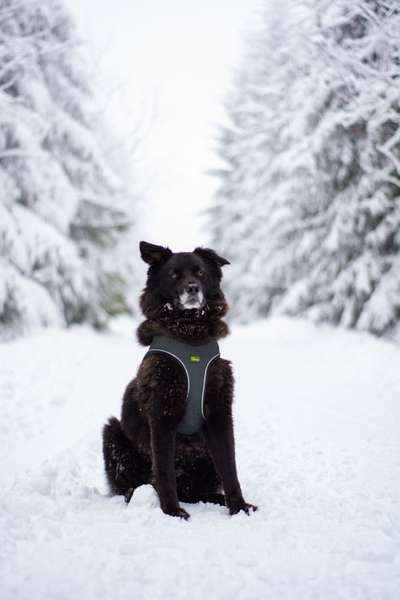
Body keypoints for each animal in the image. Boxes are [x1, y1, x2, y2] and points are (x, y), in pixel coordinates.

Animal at [102, 241, 256, 516]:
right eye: (174, 275)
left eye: (201, 273)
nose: (192, 288)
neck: (190, 334)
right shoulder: (162, 414)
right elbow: (164, 471)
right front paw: (172, 511)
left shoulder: (220, 414)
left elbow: (230, 469)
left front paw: (239, 508)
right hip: (112, 431)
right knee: (133, 488)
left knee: (196, 492)